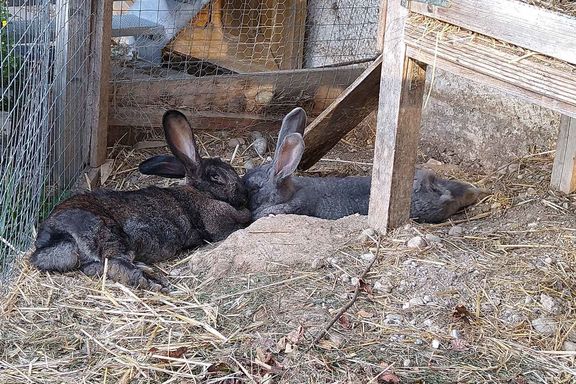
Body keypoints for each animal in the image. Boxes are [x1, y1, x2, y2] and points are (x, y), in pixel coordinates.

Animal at [29, 109, 250, 290]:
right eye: (216, 177)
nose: (243, 192)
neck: (200, 192)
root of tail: (53, 236)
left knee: (97, 268)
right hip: (105, 232)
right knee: (114, 263)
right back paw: (154, 282)